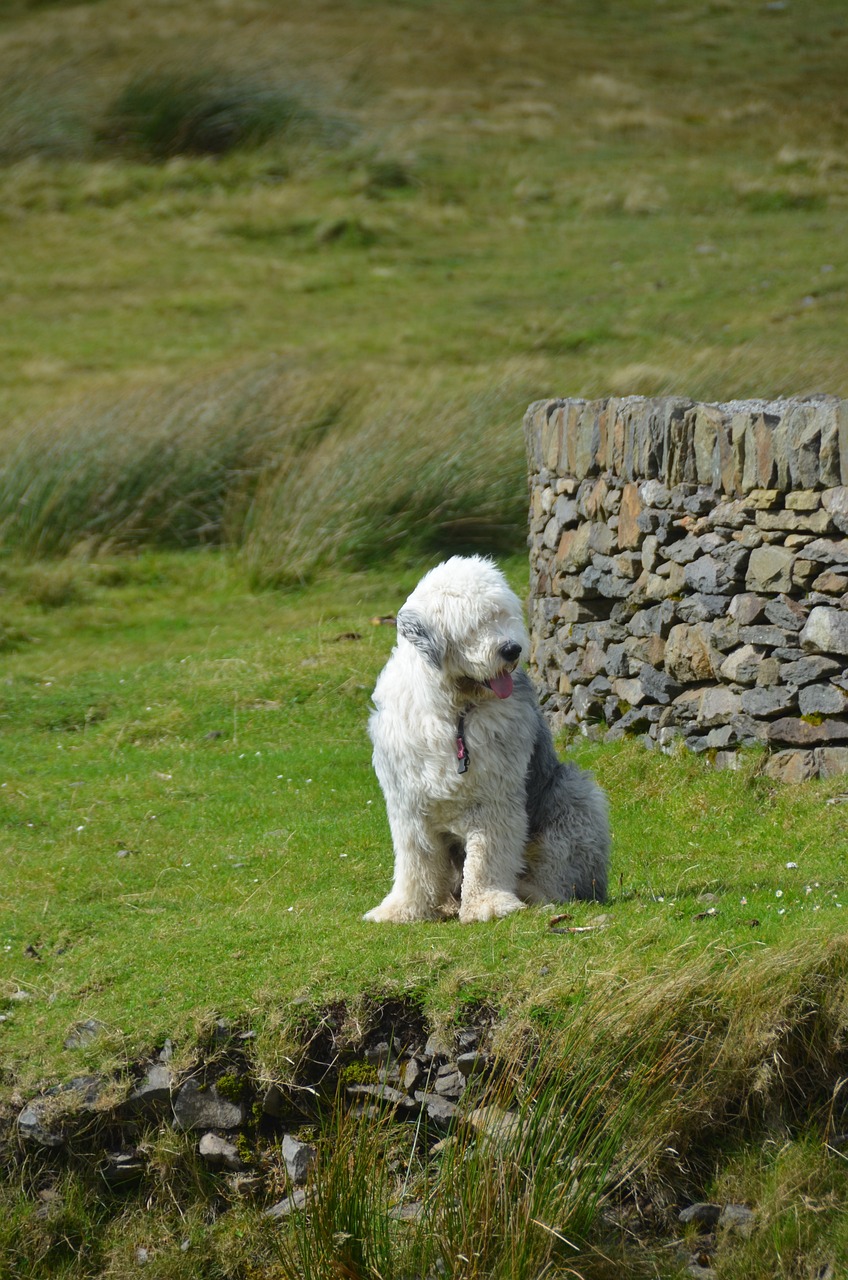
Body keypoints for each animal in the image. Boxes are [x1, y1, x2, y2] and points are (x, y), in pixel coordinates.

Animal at [366, 550, 612, 921]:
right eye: (473, 625)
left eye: (503, 614)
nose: (512, 649)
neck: (456, 711)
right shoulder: (408, 803)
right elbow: (416, 863)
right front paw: (403, 909)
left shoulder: (495, 798)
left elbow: (488, 856)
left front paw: (489, 904)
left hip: (572, 794)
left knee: (558, 868)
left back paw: (535, 894)